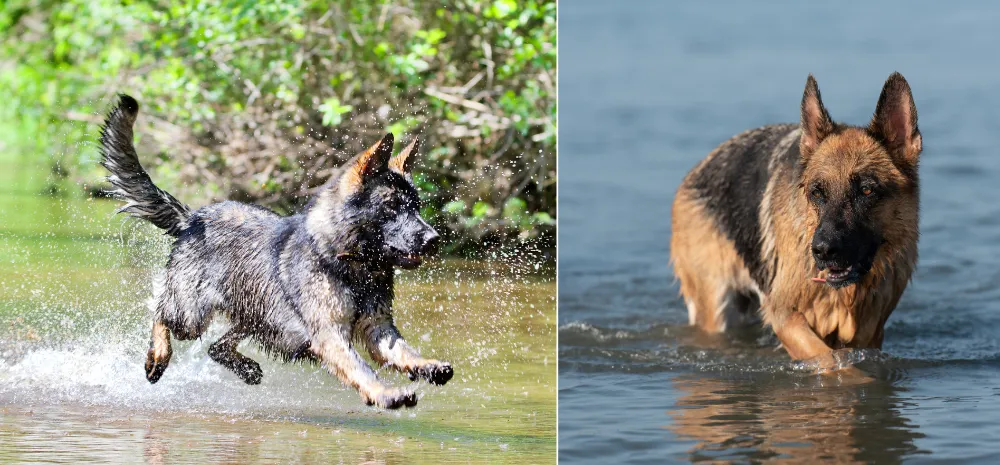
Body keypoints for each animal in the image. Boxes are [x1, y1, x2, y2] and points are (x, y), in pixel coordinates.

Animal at [100, 94, 454, 406]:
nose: (433, 239)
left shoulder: (377, 328)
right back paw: (157, 357)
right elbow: (361, 368)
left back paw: (245, 368)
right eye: (392, 206)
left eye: (417, 207)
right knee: (161, 313)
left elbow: (403, 351)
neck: (346, 261)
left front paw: (427, 366)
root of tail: (193, 217)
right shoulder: (330, 334)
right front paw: (385, 394)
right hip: (192, 313)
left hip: (256, 316)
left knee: (216, 346)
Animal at [672, 72, 920, 370]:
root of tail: (697, 168)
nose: (822, 251)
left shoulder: (869, 333)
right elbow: (827, 358)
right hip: (716, 306)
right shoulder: (784, 316)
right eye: (817, 192)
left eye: (867, 191)